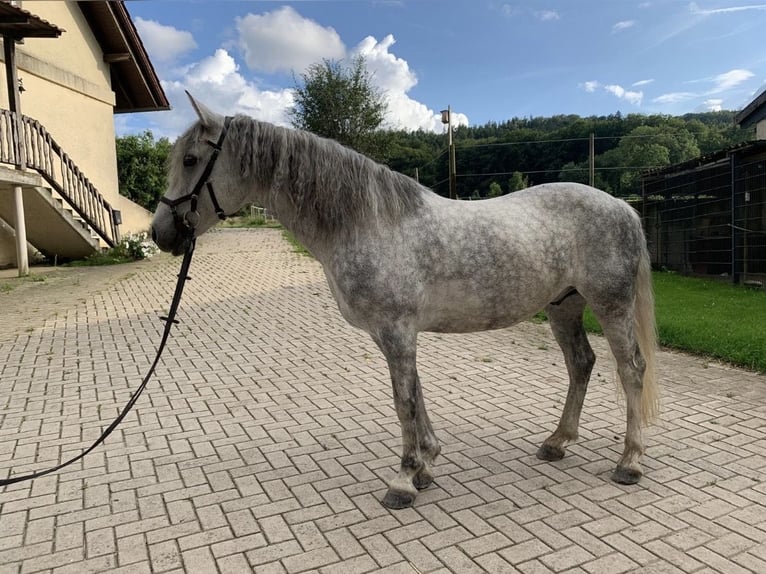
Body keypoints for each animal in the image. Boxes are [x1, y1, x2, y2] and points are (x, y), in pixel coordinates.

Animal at [151, 94, 659, 509]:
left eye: (192, 159)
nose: (161, 234)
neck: (368, 223)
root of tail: (623, 207)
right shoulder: (391, 334)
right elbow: (415, 394)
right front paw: (426, 466)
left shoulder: (397, 331)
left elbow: (403, 402)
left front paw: (403, 479)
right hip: (564, 306)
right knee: (581, 364)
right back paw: (557, 442)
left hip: (610, 305)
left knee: (630, 368)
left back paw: (630, 461)